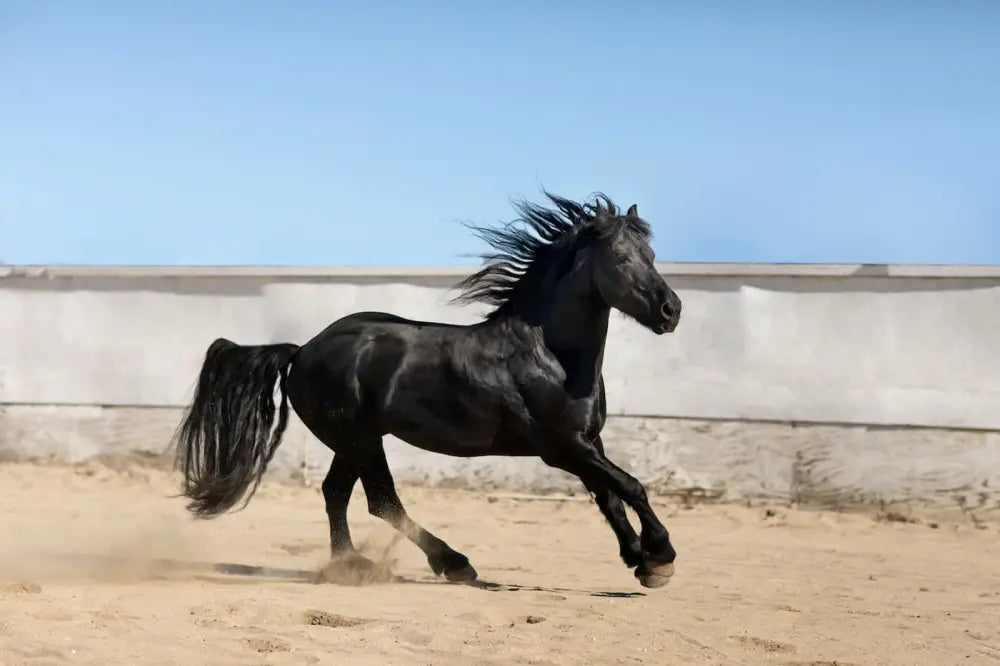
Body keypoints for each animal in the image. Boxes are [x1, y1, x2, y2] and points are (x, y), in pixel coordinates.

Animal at [173, 192, 683, 588]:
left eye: (653, 257)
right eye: (621, 259)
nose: (670, 310)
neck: (550, 356)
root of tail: (302, 351)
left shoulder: (588, 442)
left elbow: (609, 496)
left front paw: (640, 561)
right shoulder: (561, 447)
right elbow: (630, 486)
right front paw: (660, 555)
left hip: (354, 441)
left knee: (336, 493)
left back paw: (350, 565)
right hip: (358, 439)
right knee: (381, 501)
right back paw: (451, 564)